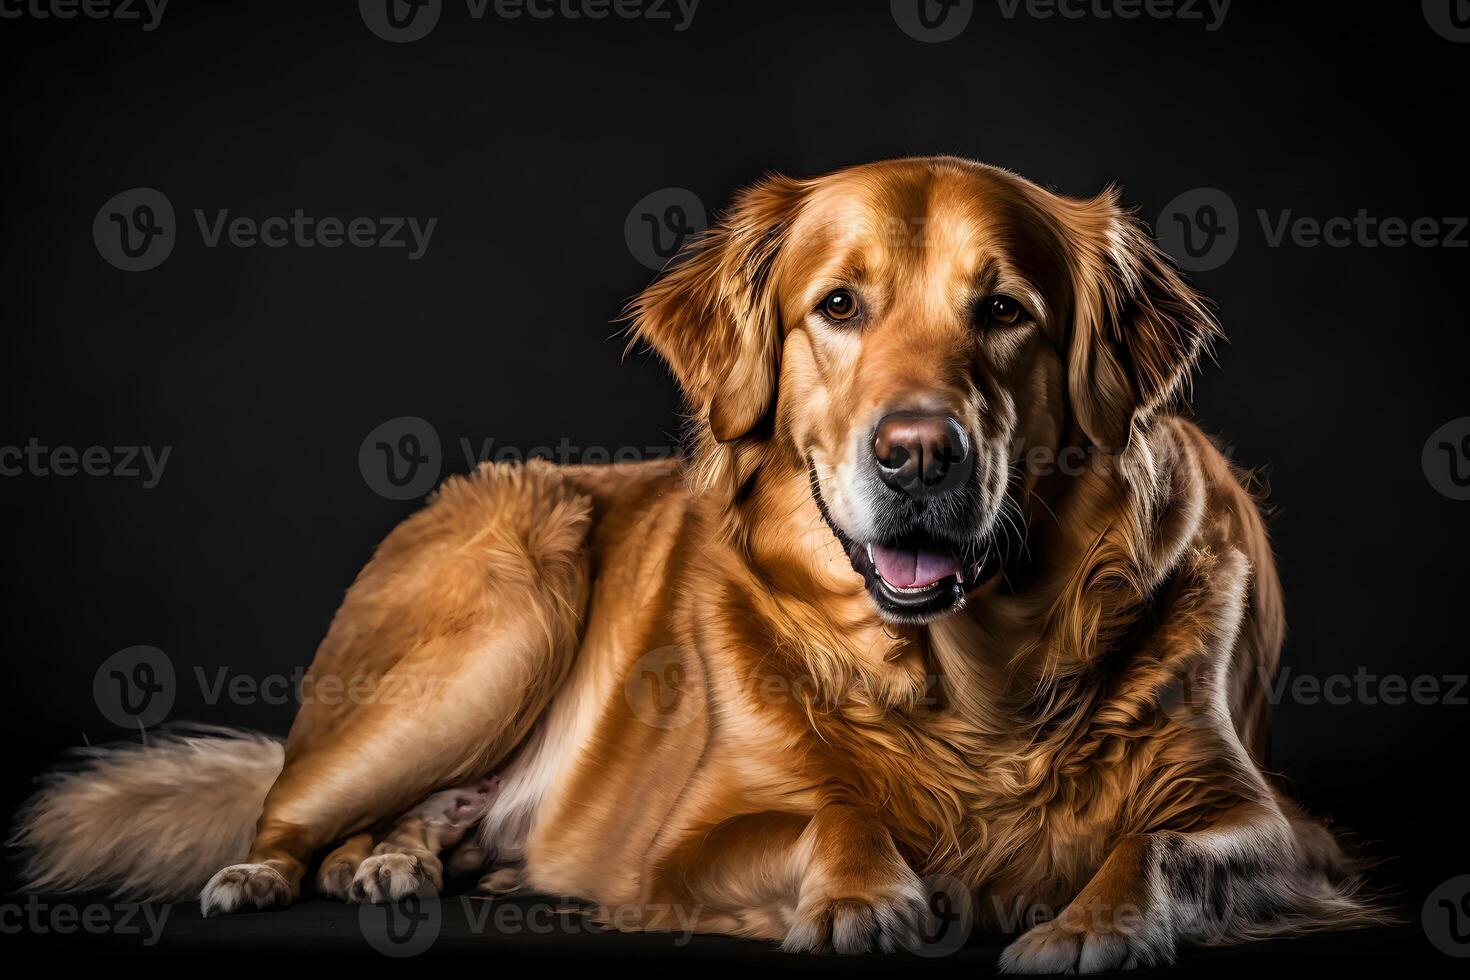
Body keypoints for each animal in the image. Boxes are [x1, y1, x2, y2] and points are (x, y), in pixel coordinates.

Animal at [14, 157, 1387, 969]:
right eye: (838, 306)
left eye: (1005, 311)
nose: (919, 455)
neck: (970, 689)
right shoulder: (693, 840)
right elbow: (834, 805)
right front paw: (869, 891)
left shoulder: (1272, 821)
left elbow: (1154, 841)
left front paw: (1094, 918)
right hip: (502, 606)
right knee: (287, 807)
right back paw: (274, 870)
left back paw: (407, 859)